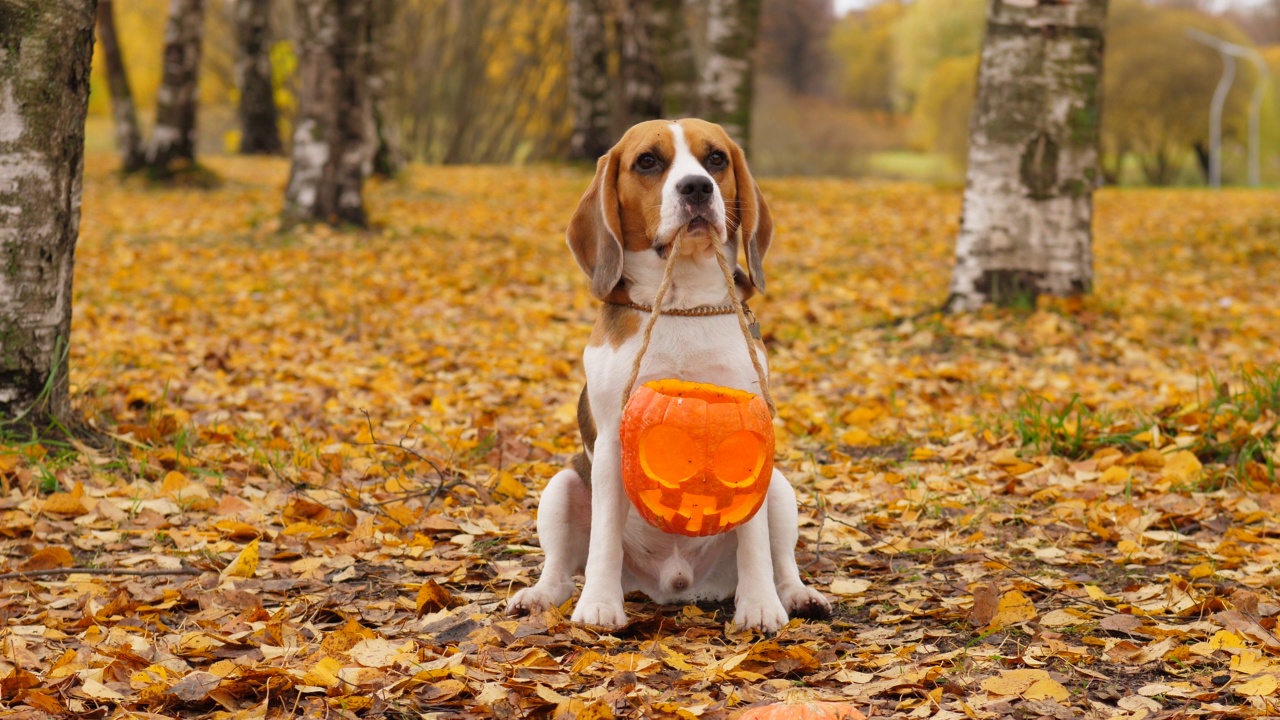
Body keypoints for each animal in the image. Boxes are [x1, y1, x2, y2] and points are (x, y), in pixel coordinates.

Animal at [509, 117, 829, 627]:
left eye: (716, 158)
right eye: (648, 162)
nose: (697, 187)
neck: (683, 302)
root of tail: (677, 584)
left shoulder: (754, 445)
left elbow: (755, 542)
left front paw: (760, 607)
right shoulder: (611, 442)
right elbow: (603, 541)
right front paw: (599, 606)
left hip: (779, 486)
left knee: (782, 561)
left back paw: (796, 595)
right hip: (562, 486)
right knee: (560, 572)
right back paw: (540, 596)